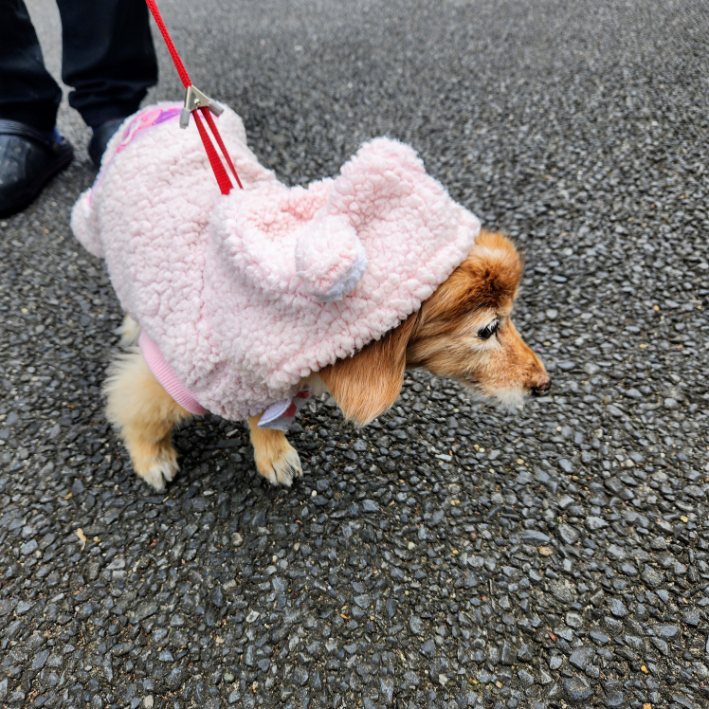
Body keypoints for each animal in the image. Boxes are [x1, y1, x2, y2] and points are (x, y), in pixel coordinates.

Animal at [72, 103, 549, 490]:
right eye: (488, 329)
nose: (543, 385)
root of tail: (154, 114)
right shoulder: (175, 376)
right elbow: (136, 409)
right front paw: (151, 457)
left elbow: (265, 417)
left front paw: (272, 451)